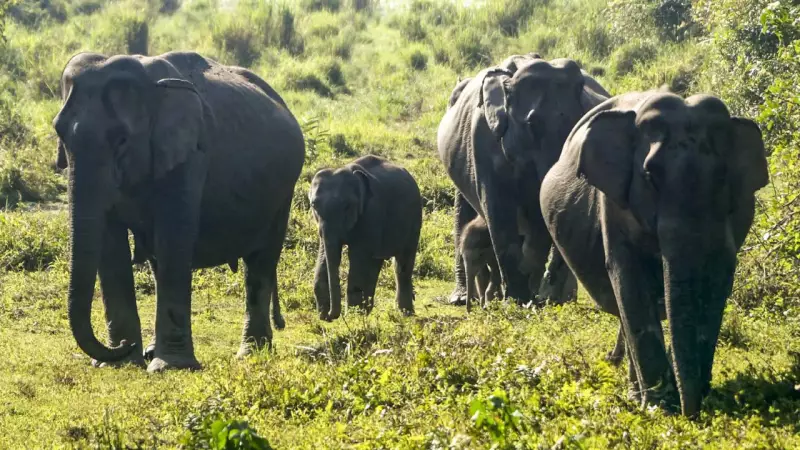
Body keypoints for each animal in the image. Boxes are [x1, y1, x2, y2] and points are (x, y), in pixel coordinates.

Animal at [52, 51, 305, 372]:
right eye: (59, 132)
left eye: (121, 139)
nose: (123, 347)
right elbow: (111, 247)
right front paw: (123, 362)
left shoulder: (189, 155)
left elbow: (173, 238)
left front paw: (168, 366)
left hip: (283, 191)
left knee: (261, 262)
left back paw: (250, 352)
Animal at [309, 155, 422, 321]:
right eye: (314, 205)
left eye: (347, 206)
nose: (329, 316)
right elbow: (326, 253)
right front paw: (324, 314)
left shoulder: (371, 213)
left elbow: (358, 257)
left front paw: (354, 317)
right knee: (377, 262)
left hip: (414, 219)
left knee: (402, 265)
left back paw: (405, 313)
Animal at [437, 56, 609, 306]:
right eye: (531, 124)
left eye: (579, 123)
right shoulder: (482, 143)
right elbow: (499, 211)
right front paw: (515, 299)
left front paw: (528, 294)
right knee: (464, 210)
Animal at [540, 90, 769, 416]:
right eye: (649, 176)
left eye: (723, 176)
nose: (692, 412)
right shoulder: (613, 206)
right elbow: (628, 279)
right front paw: (661, 407)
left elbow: (719, 280)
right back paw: (637, 392)